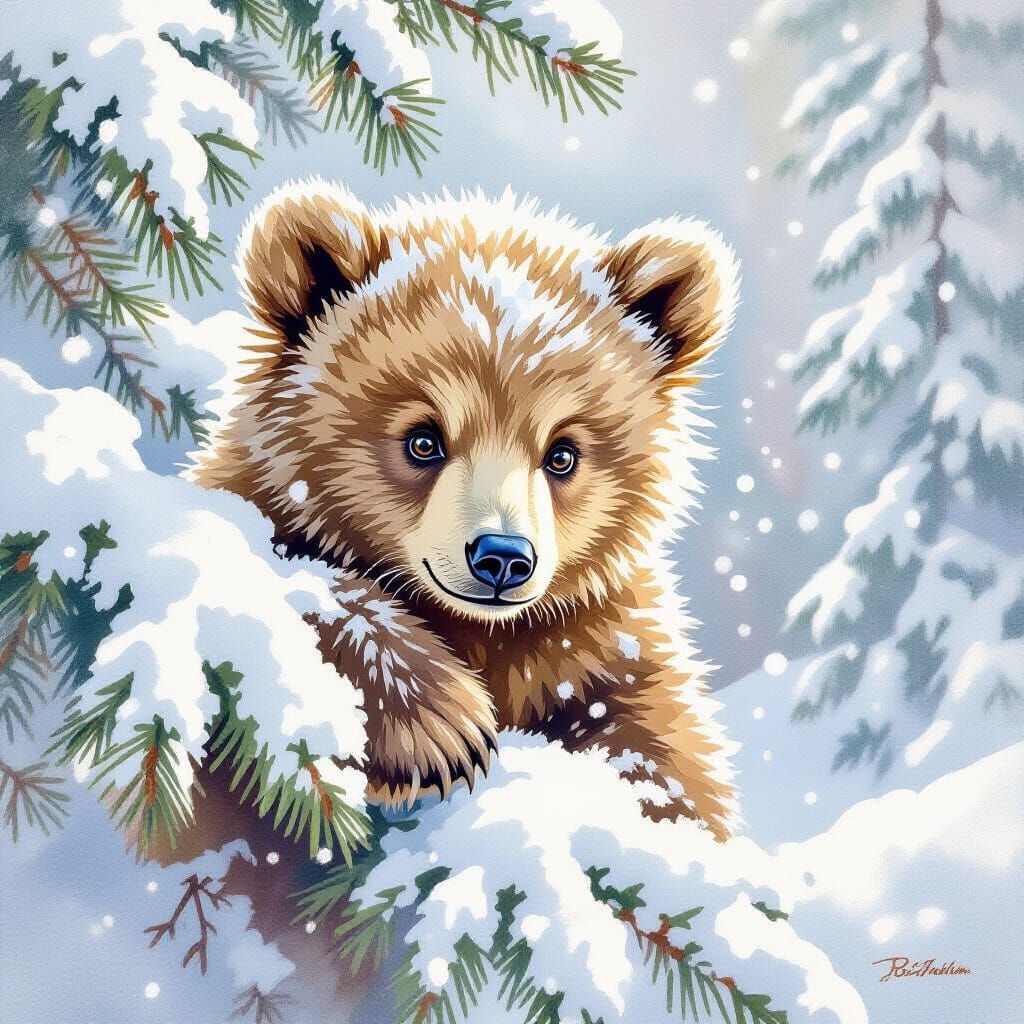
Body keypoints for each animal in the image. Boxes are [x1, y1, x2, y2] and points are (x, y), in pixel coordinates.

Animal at [188, 180, 740, 841]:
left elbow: (664, 744)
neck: (480, 633)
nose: (502, 557)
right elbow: (280, 578)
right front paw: (438, 732)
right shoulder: (249, 508)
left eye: (562, 454)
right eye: (424, 440)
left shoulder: (599, 637)